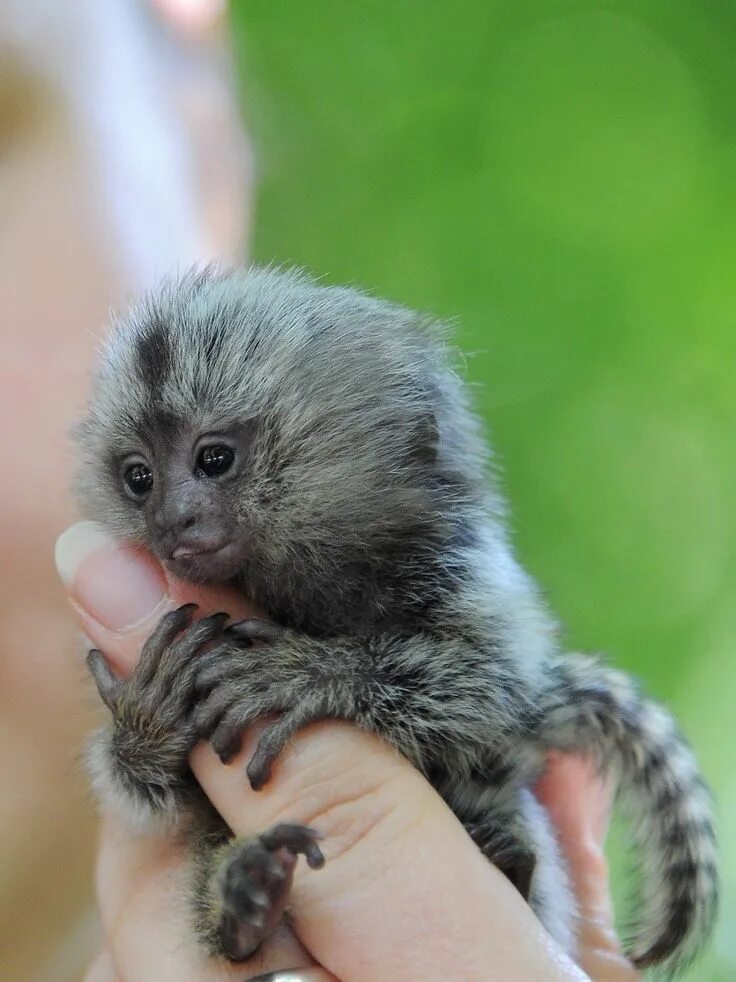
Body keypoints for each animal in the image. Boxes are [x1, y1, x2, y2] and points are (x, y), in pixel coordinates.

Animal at [77, 268, 716, 976]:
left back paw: (506, 863)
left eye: (214, 459)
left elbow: (487, 690)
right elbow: (168, 796)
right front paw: (151, 721)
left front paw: (316, 674)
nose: (172, 521)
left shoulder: (465, 574)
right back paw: (245, 900)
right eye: (139, 478)